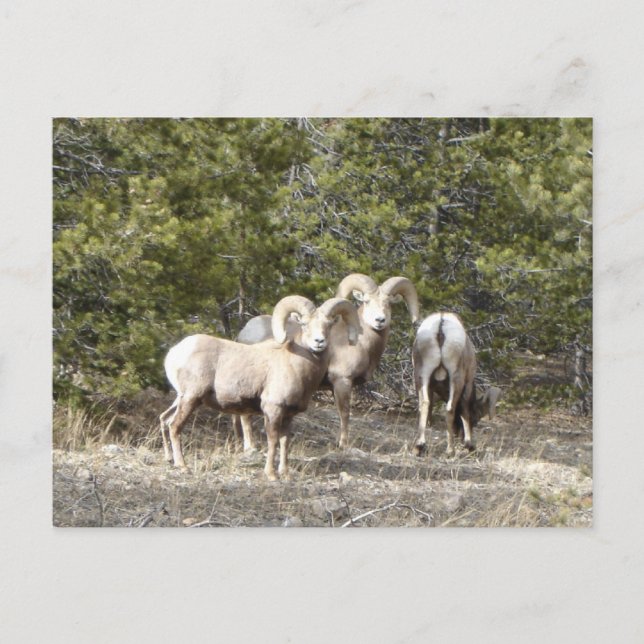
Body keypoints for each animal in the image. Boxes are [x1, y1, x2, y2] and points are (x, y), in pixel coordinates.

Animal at [159, 295, 360, 480]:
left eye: (329, 325)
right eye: (304, 324)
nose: (319, 342)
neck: (296, 365)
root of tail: (174, 353)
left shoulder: (289, 415)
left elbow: (285, 442)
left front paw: (285, 473)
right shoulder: (272, 409)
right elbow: (273, 440)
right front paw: (271, 474)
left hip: (181, 398)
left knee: (165, 419)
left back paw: (169, 459)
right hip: (191, 398)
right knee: (175, 426)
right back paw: (182, 466)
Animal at [235, 273, 419, 449]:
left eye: (388, 303)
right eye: (366, 301)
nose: (379, 320)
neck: (362, 342)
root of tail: (244, 333)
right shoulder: (342, 381)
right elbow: (344, 412)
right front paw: (343, 444)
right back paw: (250, 446)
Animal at [412, 312, 501, 457]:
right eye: (475, 419)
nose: (459, 435)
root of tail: (441, 323)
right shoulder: (468, 383)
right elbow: (464, 410)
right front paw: (470, 445)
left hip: (421, 375)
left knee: (424, 404)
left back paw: (419, 447)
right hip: (456, 378)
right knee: (450, 409)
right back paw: (450, 450)